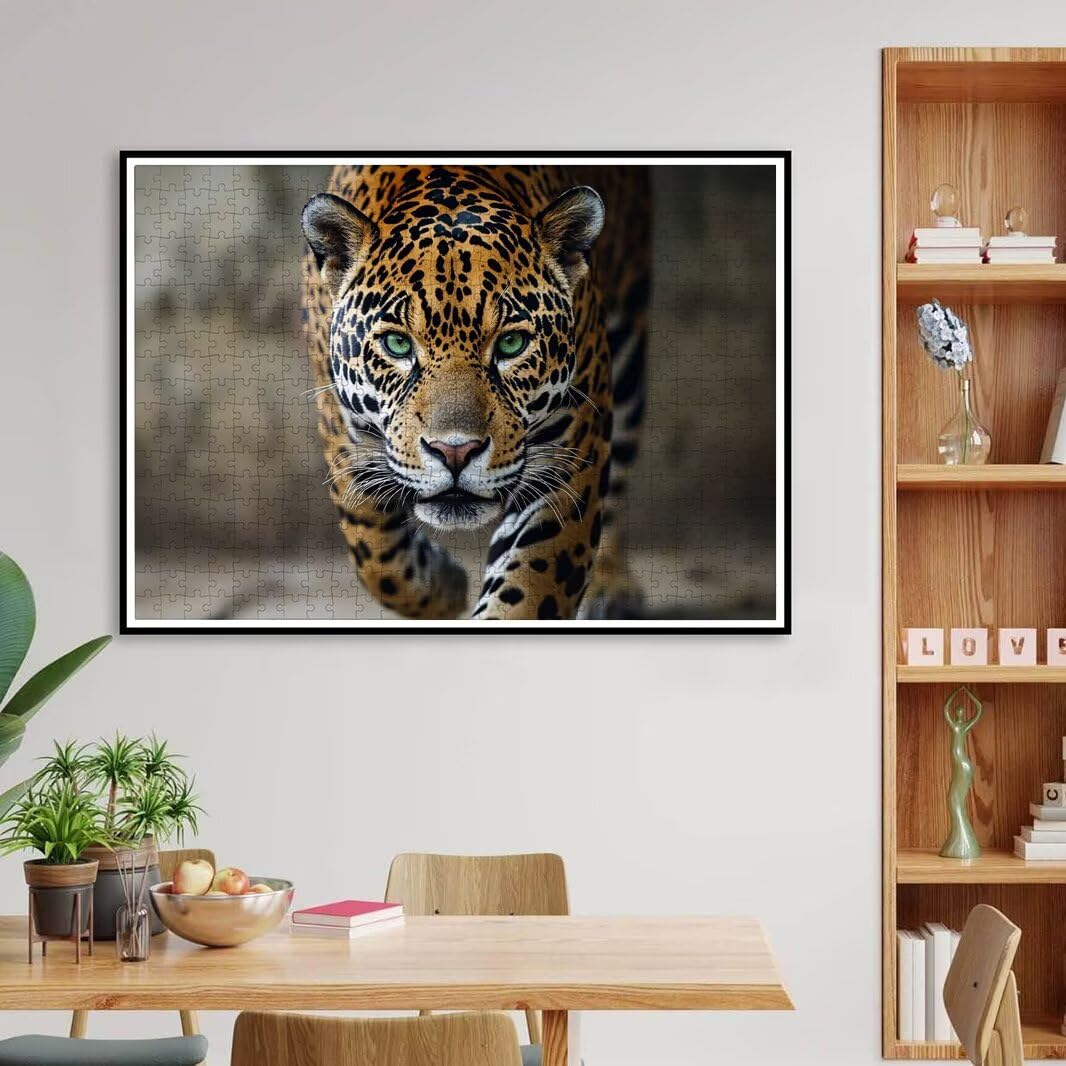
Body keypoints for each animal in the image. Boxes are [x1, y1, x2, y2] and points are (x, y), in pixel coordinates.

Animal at [300, 164, 649, 621]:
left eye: (511, 345)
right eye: (397, 344)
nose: (455, 452)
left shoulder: (567, 464)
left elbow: (529, 590)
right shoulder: (343, 435)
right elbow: (374, 553)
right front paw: (445, 586)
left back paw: (612, 588)